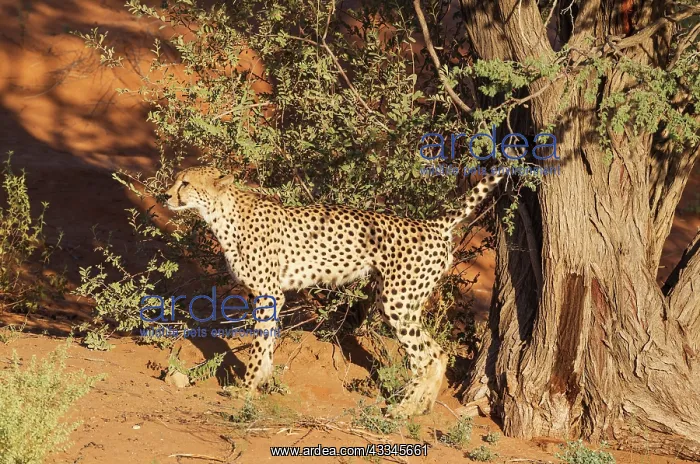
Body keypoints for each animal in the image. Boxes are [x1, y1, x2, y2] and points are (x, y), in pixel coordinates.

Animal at [164, 166, 503, 417]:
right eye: (177, 179)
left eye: (185, 183)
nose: (165, 195)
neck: (222, 212)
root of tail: (432, 225)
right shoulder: (272, 295)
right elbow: (268, 343)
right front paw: (264, 382)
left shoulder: (268, 292)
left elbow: (260, 345)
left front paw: (245, 387)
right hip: (398, 300)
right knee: (439, 352)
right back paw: (422, 408)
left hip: (397, 301)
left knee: (425, 357)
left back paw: (402, 411)